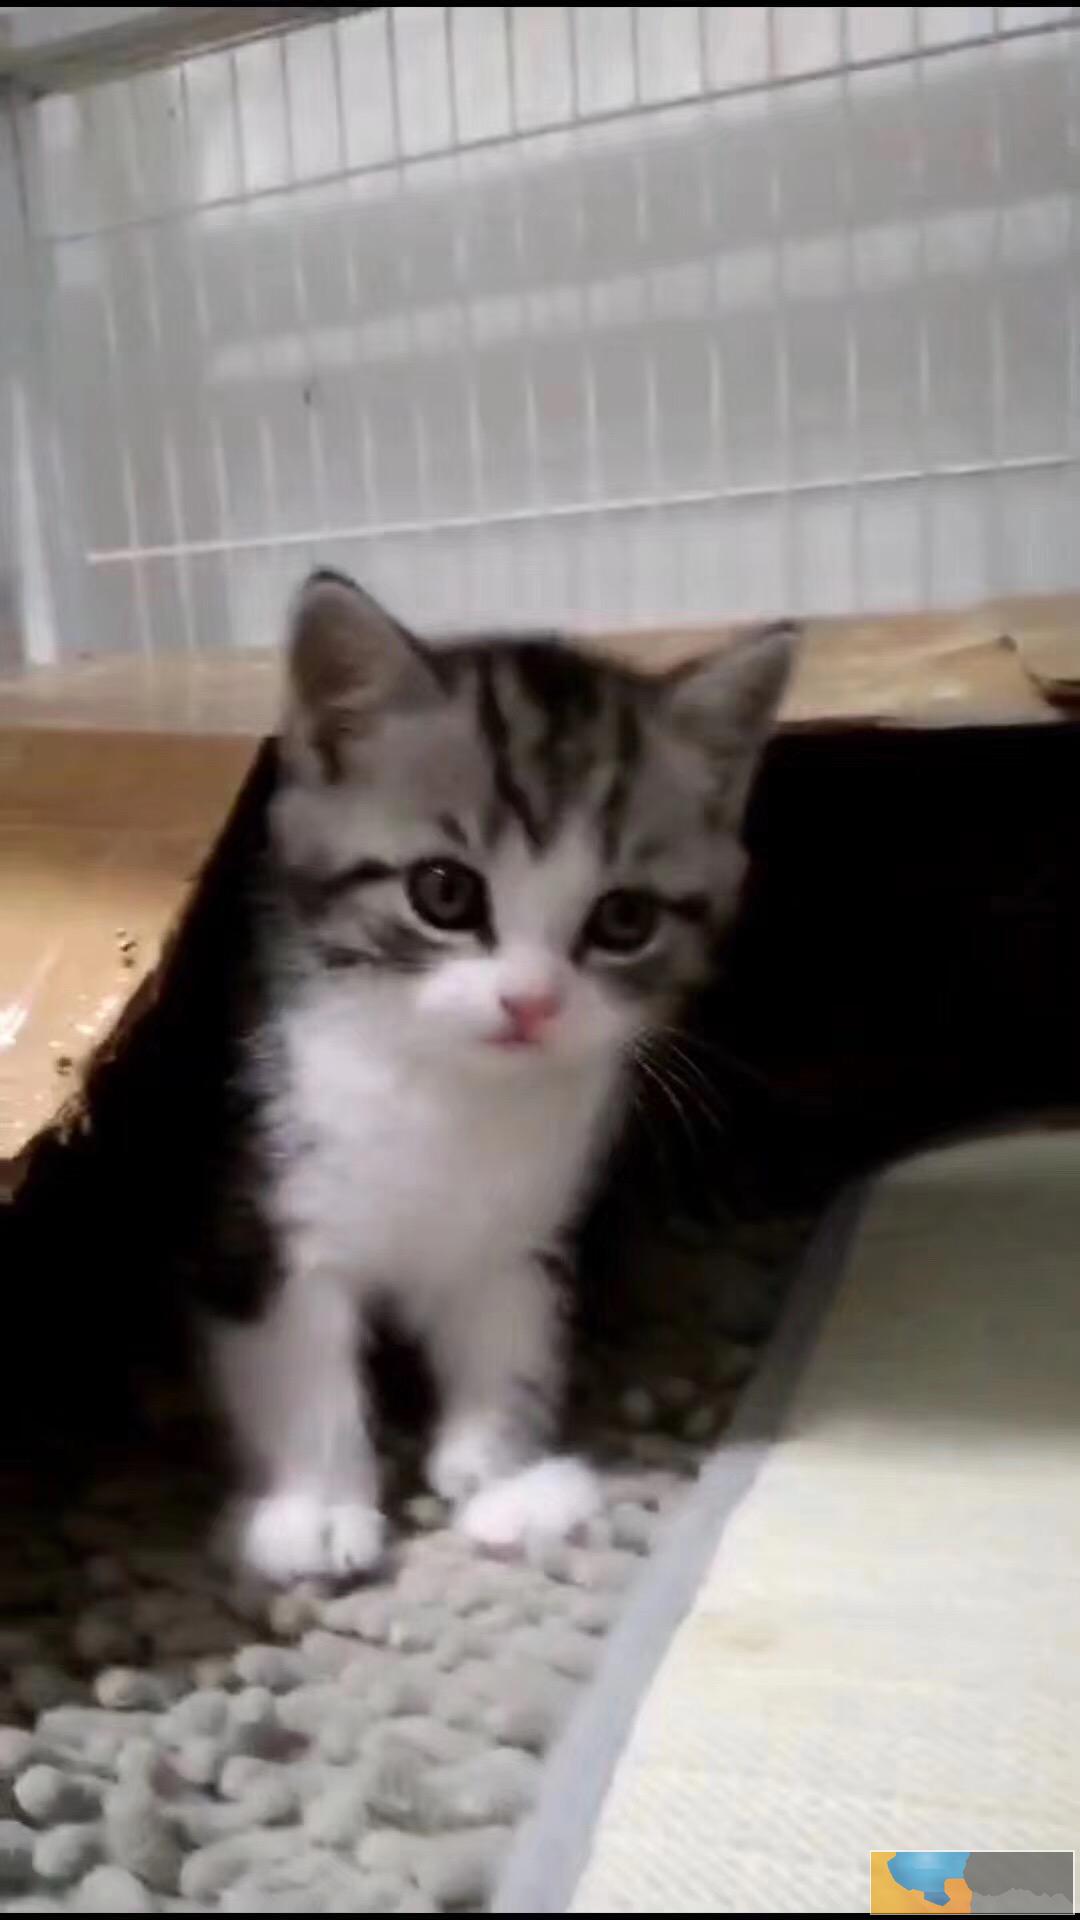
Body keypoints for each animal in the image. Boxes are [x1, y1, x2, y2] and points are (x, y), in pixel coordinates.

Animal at [206, 571, 795, 1583]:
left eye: (625, 919)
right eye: (444, 892)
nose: (532, 1003)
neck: (445, 1090)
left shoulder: (530, 1226)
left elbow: (510, 1330)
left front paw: (506, 1475)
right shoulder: (261, 1205)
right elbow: (297, 1352)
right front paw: (317, 1505)